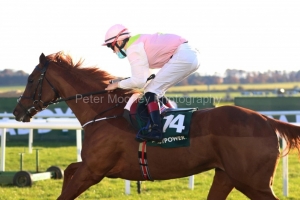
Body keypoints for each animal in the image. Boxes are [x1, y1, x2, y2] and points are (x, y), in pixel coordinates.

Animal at [13, 52, 300, 199]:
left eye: (30, 80)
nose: (17, 111)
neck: (106, 112)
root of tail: (266, 119)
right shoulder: (92, 166)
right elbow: (69, 169)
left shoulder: (94, 170)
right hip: (229, 176)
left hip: (252, 182)